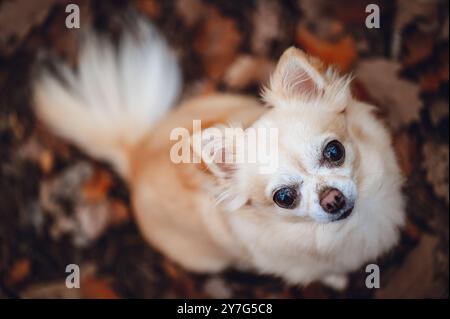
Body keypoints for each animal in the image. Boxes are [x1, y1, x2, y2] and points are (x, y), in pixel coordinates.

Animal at [32, 18, 404, 292]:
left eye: (334, 151)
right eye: (284, 197)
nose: (332, 199)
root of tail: (136, 157)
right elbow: (324, 272)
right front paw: (338, 279)